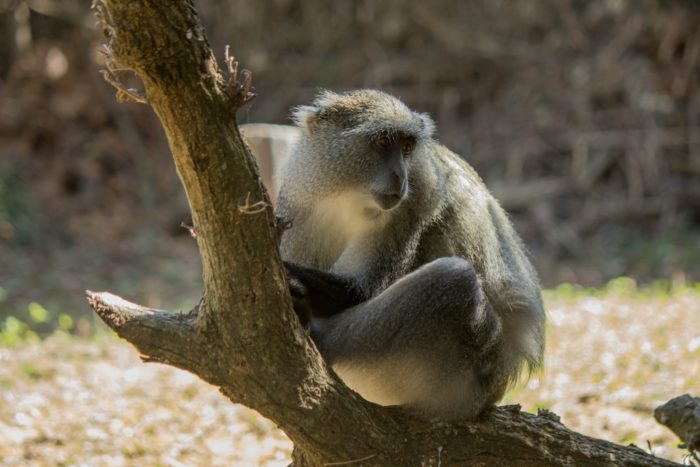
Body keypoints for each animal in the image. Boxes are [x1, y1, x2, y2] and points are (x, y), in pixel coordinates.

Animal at [274, 88, 548, 420]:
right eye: (382, 142)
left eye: (406, 147)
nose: (399, 177)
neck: (350, 197)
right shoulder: (299, 202)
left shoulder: (413, 204)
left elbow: (359, 291)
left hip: (466, 378)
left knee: (454, 279)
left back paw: (320, 337)